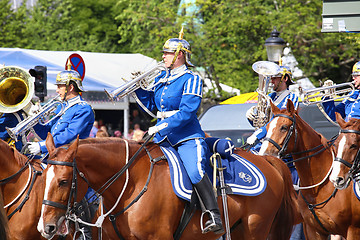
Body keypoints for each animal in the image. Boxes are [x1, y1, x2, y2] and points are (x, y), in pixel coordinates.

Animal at [36, 133, 296, 240]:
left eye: (63, 181)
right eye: (43, 177)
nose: (46, 227)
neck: (130, 184)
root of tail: (267, 160)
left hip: (255, 230)